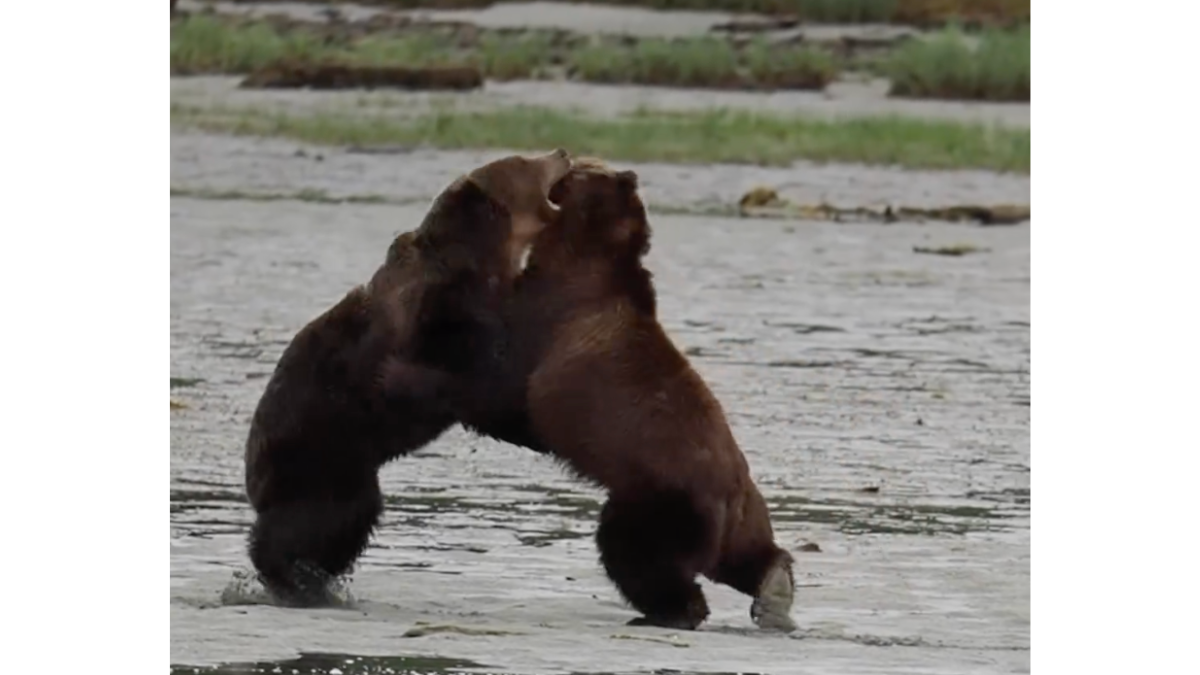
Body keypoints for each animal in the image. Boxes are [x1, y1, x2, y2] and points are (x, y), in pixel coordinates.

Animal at [242, 149, 572, 607]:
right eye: (524, 161)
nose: (561, 152)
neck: (486, 259)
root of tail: (253, 474)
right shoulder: (444, 318)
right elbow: (481, 384)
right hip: (319, 455)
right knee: (314, 523)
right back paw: (294, 578)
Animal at [388, 159, 798, 631]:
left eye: (582, 168)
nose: (566, 164)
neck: (586, 251)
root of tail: (730, 493)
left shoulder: (549, 318)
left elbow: (504, 384)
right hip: (743, 514)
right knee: (747, 555)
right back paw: (774, 591)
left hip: (659, 497)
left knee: (634, 551)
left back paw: (672, 611)